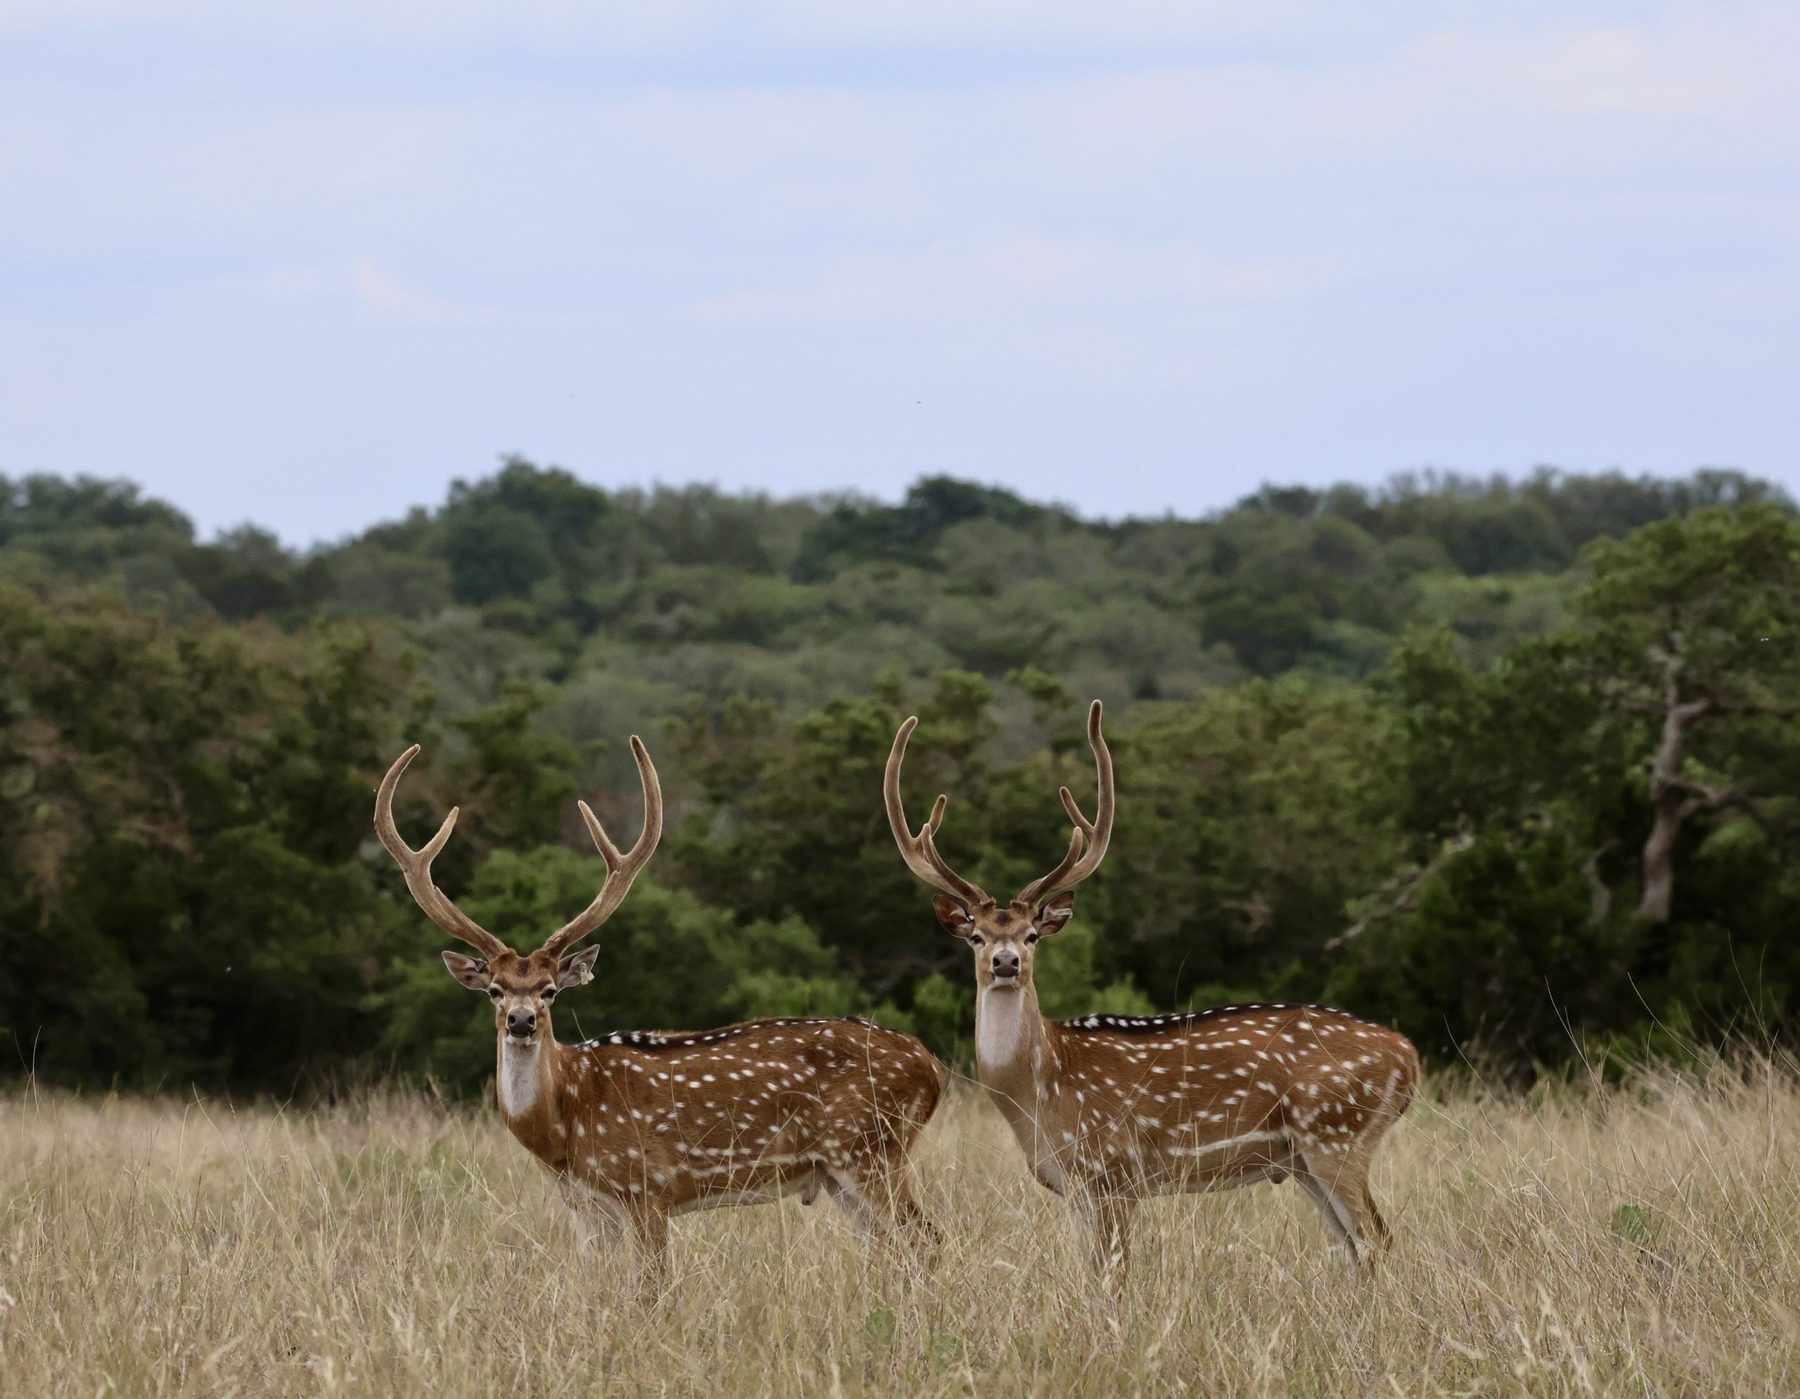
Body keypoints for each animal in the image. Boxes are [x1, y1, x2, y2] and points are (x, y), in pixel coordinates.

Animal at [375, 737, 944, 1298]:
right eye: (494, 990)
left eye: (550, 991)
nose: (520, 1021)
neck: (563, 1127)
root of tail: (931, 1067)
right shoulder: (586, 1209)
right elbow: (595, 1292)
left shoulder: (647, 1187)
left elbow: (650, 1291)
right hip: (841, 1171)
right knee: (892, 1248)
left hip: (871, 1149)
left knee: (928, 1237)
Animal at [883, 700, 1419, 1277]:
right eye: (977, 936)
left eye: (1031, 935)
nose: (1006, 962)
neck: (1041, 1091)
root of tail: (1408, 1057)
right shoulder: (1074, 1187)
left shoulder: (1117, 1170)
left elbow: (1114, 1275)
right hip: (1303, 1159)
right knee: (1356, 1247)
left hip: (1337, 1134)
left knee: (1377, 1239)